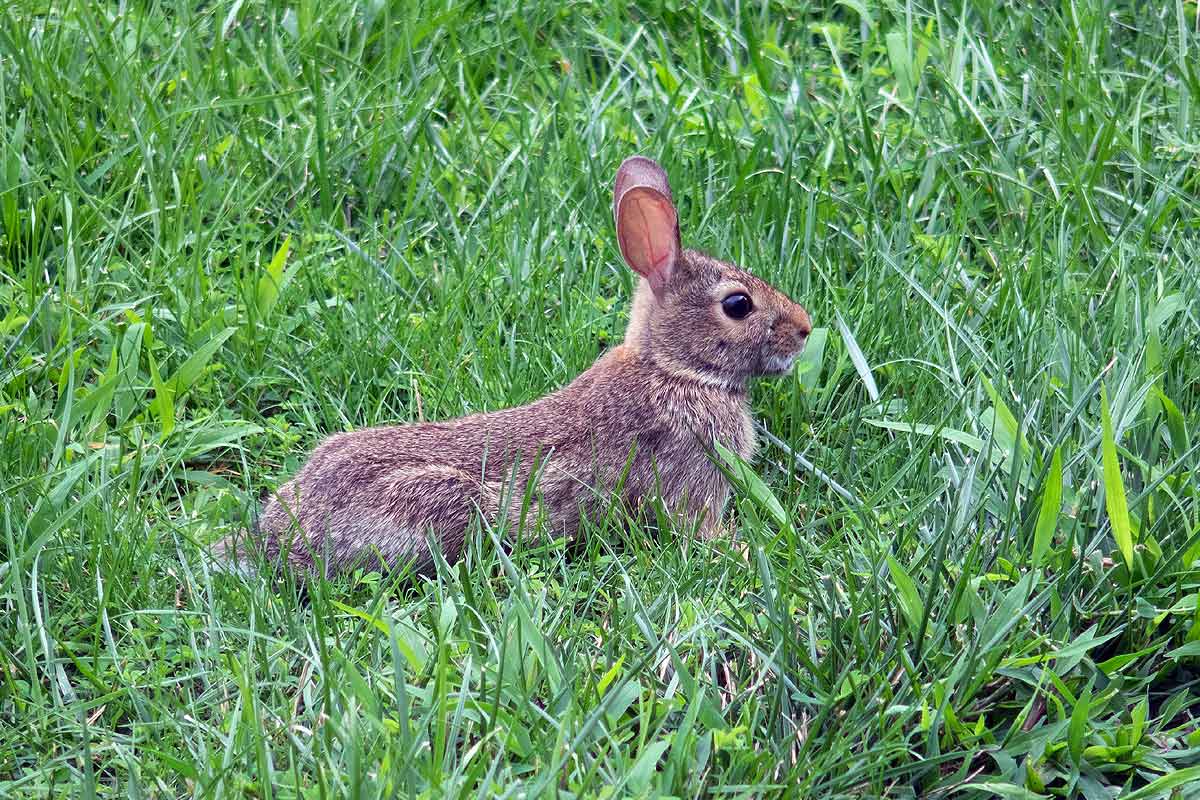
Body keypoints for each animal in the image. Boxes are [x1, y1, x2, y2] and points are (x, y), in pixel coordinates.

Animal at [218, 155, 816, 575]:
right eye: (737, 305)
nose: (805, 329)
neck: (673, 367)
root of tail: (282, 533)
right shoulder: (692, 479)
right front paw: (742, 550)